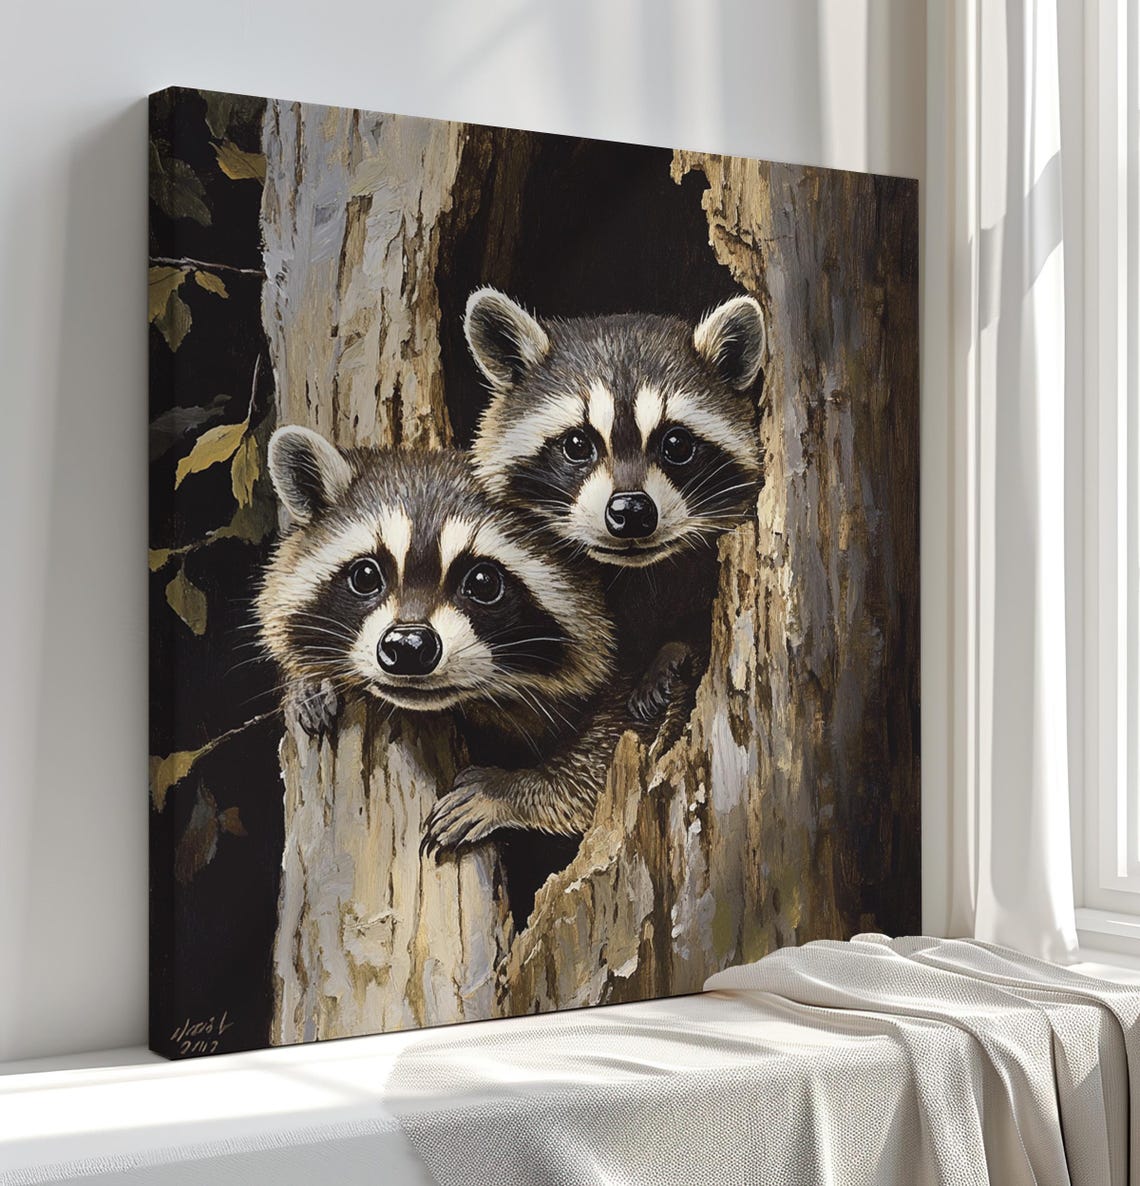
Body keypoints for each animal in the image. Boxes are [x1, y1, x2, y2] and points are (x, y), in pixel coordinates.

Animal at [257, 425, 631, 851]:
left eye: (483, 582)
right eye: (366, 576)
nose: (408, 646)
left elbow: (610, 747)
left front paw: (509, 791)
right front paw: (307, 676)